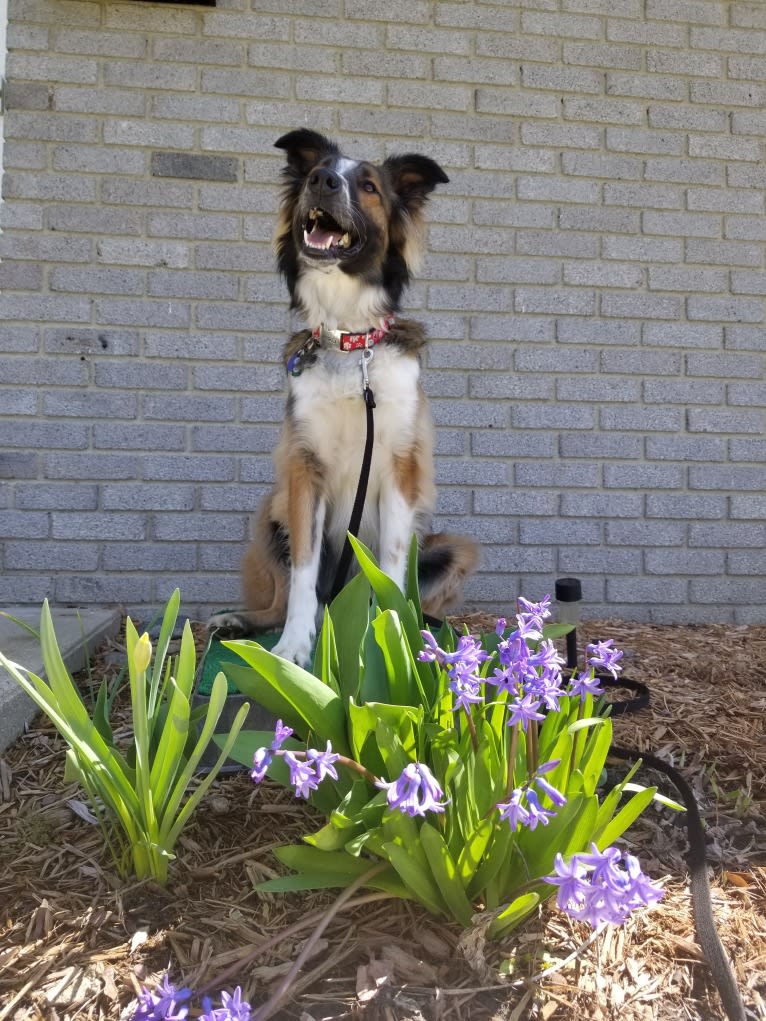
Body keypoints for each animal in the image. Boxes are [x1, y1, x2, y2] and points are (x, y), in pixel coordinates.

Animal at [210, 127, 480, 665]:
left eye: (370, 187)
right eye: (320, 170)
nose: (323, 181)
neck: (350, 343)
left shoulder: (401, 467)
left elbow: (392, 569)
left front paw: (390, 637)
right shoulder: (303, 468)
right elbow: (302, 573)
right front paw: (294, 648)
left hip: (450, 548)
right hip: (270, 513)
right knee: (285, 599)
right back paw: (243, 621)